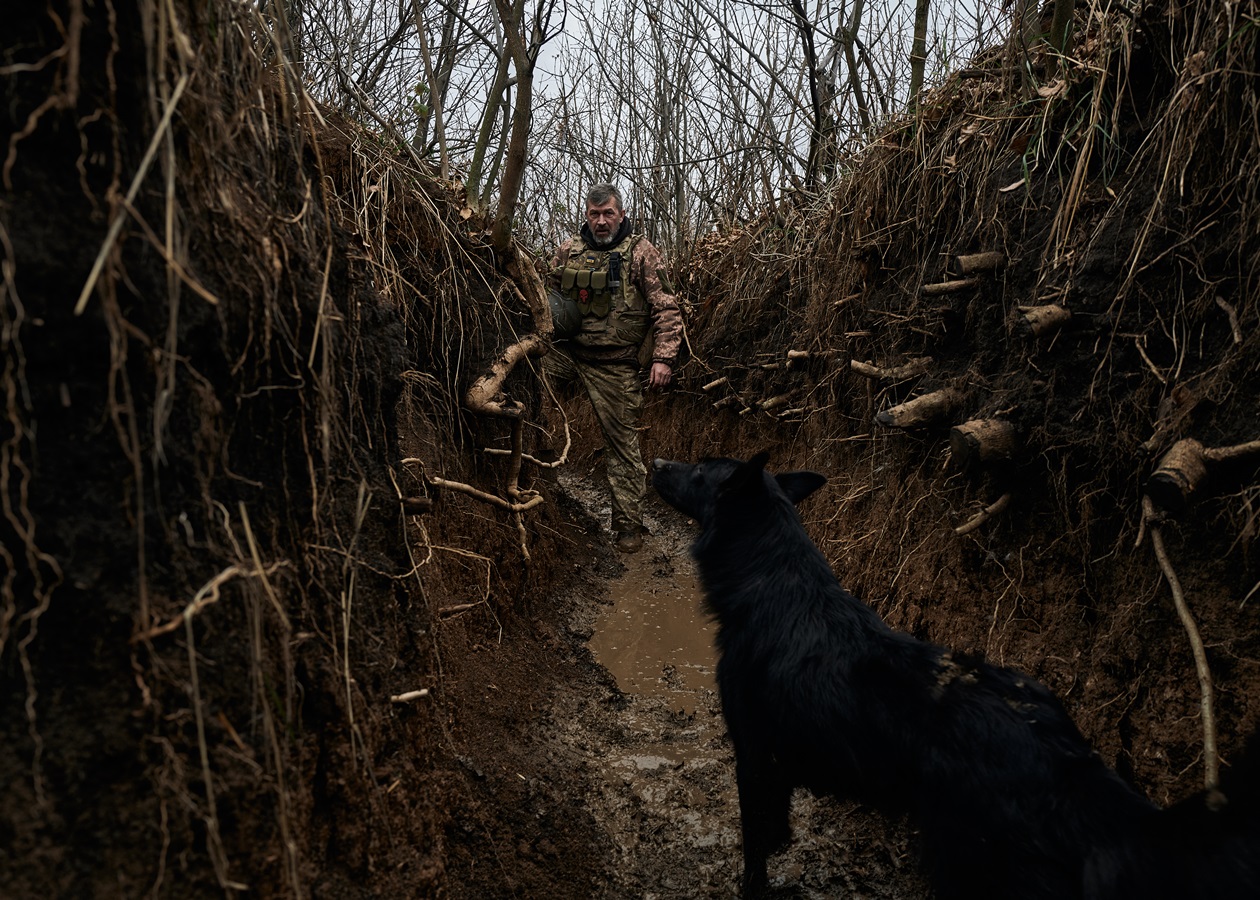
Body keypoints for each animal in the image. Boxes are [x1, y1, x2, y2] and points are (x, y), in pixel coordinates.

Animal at [650, 456, 1159, 897]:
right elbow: (775, 828)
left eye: (700, 468)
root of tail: (1067, 755)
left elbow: (754, 844)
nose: (654, 462)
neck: (771, 587)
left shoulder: (753, 752)